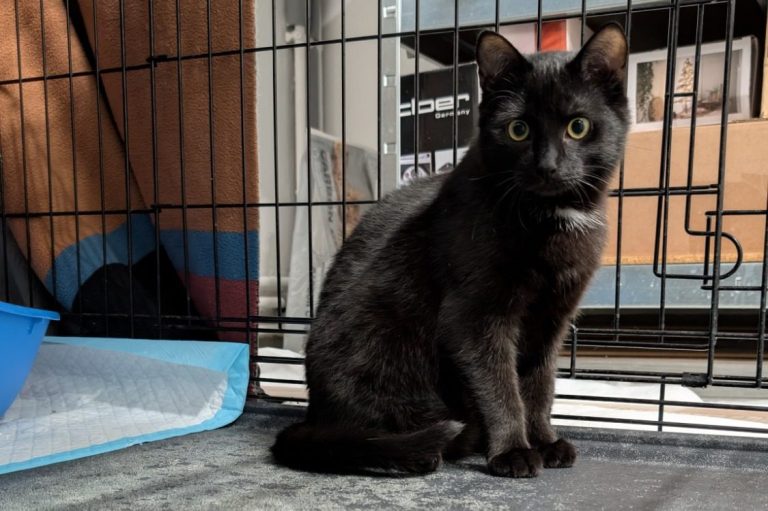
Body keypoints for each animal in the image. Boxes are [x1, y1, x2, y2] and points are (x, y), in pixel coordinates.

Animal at [272, 23, 629, 478]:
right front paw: (513, 450)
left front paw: (545, 441)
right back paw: (448, 442)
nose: (547, 166)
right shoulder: (474, 317)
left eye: (578, 127)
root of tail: (316, 416)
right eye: (518, 130)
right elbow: (501, 387)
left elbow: (540, 384)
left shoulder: (552, 318)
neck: (549, 218)